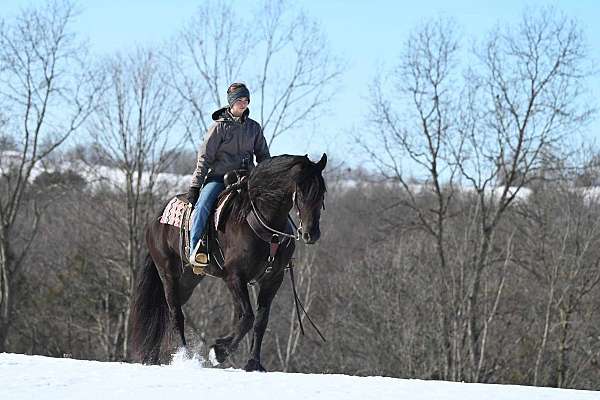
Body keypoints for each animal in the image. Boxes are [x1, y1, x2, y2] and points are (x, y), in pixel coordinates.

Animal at [132, 154, 328, 372]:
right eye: (301, 191)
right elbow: (247, 318)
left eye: (322, 192)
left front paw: (253, 363)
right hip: (168, 273)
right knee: (175, 314)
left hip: (188, 279)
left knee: (164, 309)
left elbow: (259, 321)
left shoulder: (272, 280)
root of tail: (155, 221)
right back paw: (184, 357)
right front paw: (218, 352)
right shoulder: (234, 277)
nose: (311, 233)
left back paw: (153, 356)